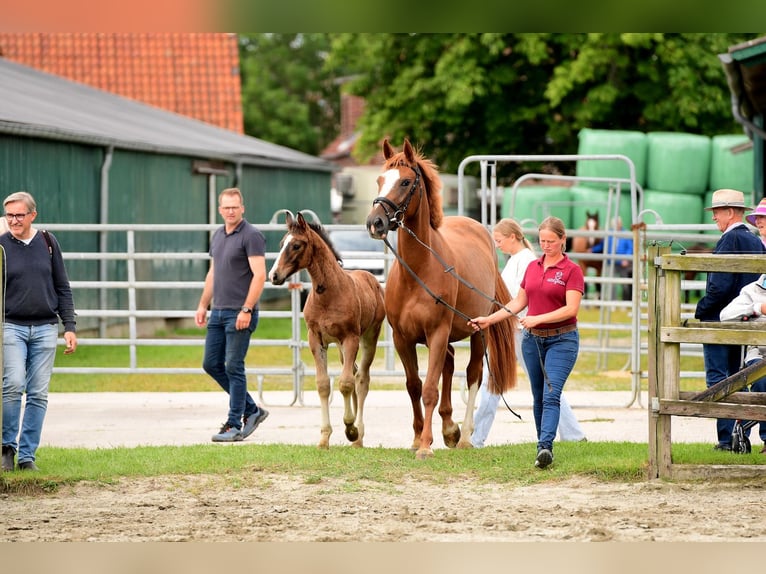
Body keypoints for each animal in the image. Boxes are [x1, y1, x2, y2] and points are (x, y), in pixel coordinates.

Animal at [272, 212, 390, 450]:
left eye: (296, 245)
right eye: (281, 244)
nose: (274, 275)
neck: (329, 293)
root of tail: (372, 279)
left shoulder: (350, 338)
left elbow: (345, 383)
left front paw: (350, 429)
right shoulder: (316, 339)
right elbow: (323, 385)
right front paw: (324, 438)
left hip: (368, 337)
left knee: (361, 379)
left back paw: (358, 436)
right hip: (340, 345)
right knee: (353, 371)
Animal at [368, 137, 520, 462]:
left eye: (405, 181)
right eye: (380, 180)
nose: (375, 223)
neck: (419, 271)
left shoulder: (437, 333)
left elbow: (429, 389)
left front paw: (426, 445)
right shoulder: (402, 338)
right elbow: (414, 386)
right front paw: (417, 438)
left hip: (478, 331)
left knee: (473, 374)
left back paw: (464, 436)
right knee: (449, 364)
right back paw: (450, 429)